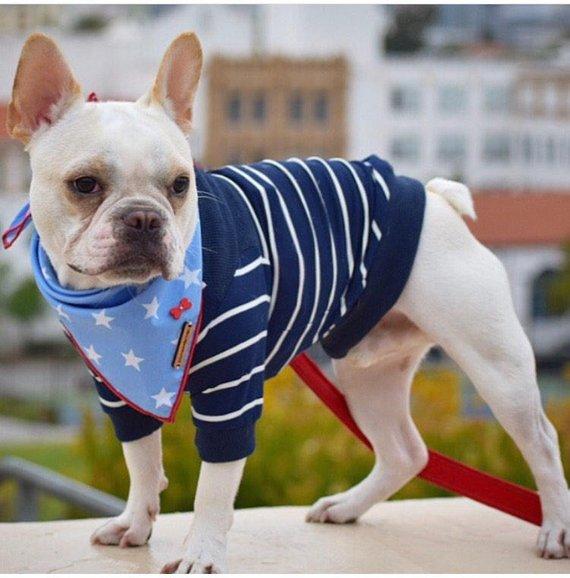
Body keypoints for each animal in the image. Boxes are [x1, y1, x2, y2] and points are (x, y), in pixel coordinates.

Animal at [5, 29, 568, 568]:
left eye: (181, 185)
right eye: (84, 184)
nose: (144, 217)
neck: (127, 301)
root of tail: (433, 196)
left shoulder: (231, 388)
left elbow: (215, 482)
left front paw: (201, 553)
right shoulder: (119, 387)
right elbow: (141, 458)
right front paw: (136, 523)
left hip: (496, 366)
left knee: (542, 442)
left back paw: (555, 529)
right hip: (366, 374)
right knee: (405, 452)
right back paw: (346, 506)